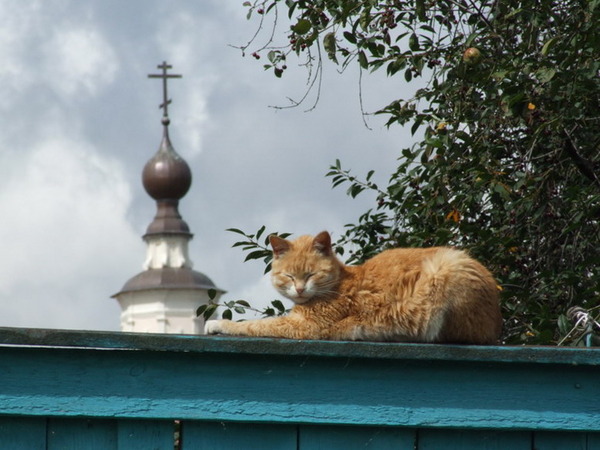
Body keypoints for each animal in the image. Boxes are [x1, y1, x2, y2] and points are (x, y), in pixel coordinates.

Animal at [204, 232, 504, 344]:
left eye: (311, 274)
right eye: (289, 276)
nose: (299, 290)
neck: (336, 281)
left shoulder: (305, 326)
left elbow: (255, 324)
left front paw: (218, 324)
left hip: (445, 271)